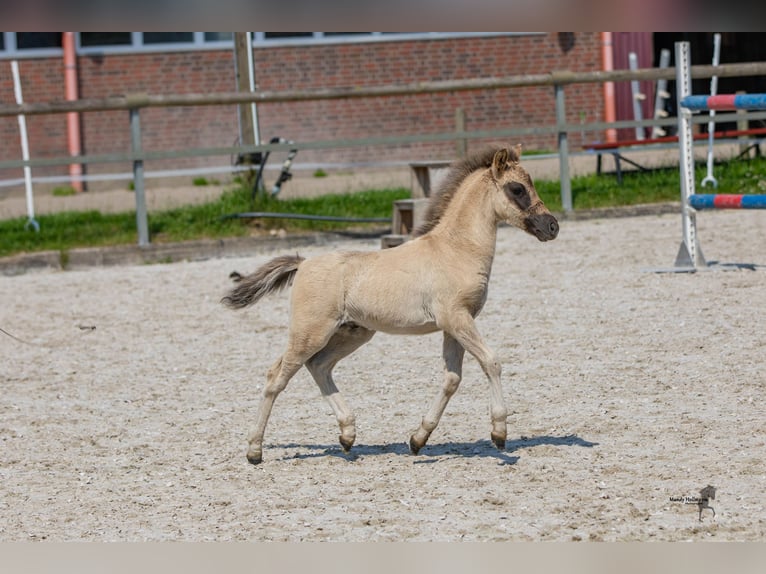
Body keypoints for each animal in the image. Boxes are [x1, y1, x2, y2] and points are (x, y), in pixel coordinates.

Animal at [222, 145, 560, 468]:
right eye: (517, 189)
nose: (552, 226)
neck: (456, 249)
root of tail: (303, 264)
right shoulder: (457, 319)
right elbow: (492, 362)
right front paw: (499, 434)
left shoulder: (454, 325)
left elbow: (452, 379)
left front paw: (418, 439)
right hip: (311, 333)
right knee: (276, 377)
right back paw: (254, 451)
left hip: (352, 333)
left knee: (318, 366)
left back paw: (347, 435)